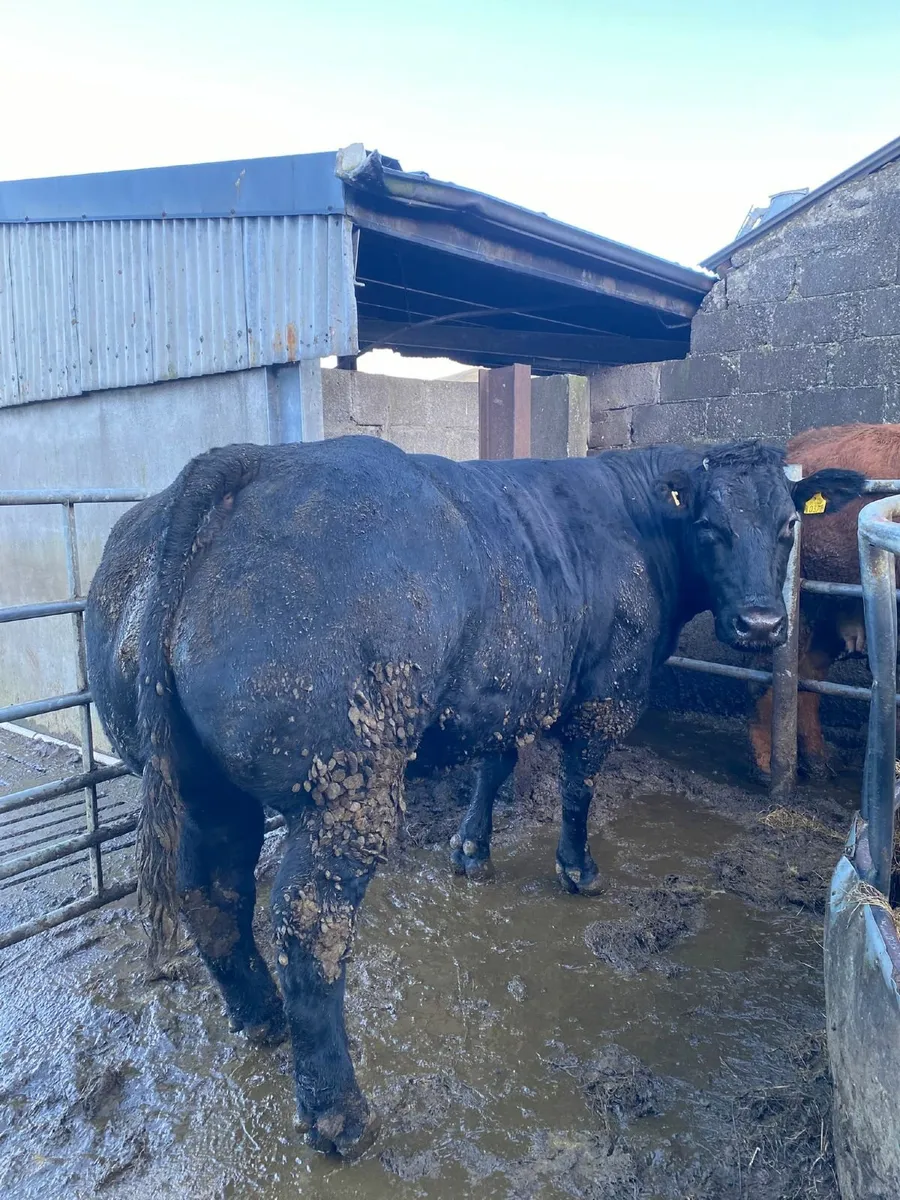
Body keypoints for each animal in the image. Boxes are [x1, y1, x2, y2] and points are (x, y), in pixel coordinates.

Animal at [84, 434, 863, 1158]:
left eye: (787, 525)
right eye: (709, 524)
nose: (763, 624)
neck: (636, 519)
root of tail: (245, 464)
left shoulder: (505, 687)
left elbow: (495, 764)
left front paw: (470, 850)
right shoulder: (606, 695)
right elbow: (579, 786)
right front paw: (578, 870)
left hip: (199, 787)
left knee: (210, 893)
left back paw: (259, 1016)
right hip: (344, 790)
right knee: (309, 929)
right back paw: (339, 1115)